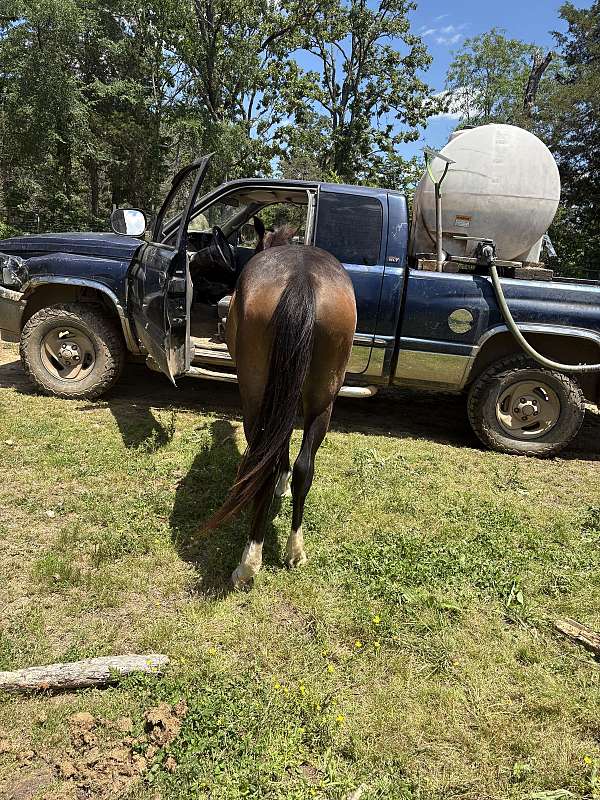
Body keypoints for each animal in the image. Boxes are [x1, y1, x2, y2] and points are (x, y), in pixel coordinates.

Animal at [203, 227, 357, 589]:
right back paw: (294, 550)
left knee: (265, 462)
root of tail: (302, 279)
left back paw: (249, 562)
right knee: (305, 467)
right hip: (322, 400)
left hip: (256, 397)